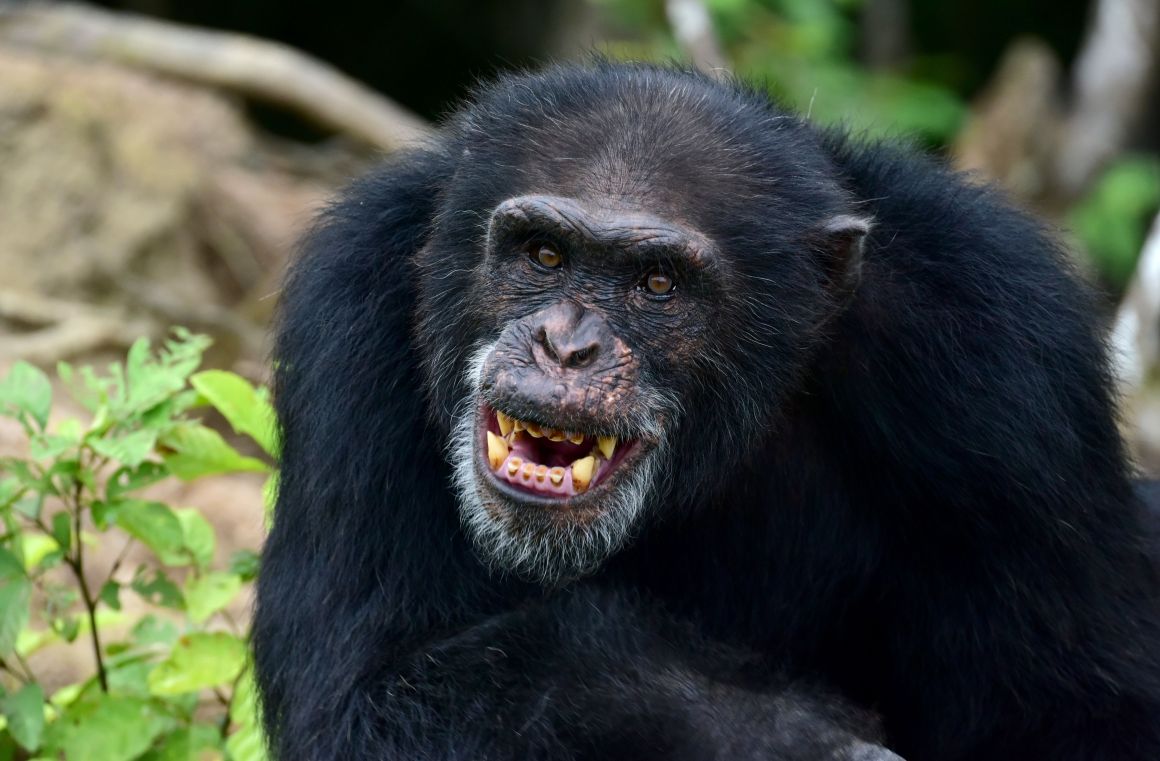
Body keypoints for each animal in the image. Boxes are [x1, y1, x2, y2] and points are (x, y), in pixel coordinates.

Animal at [251, 63, 1160, 761]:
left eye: (658, 284)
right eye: (543, 254)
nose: (565, 345)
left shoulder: (1009, 353)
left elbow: (1082, 710)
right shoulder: (353, 301)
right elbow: (361, 695)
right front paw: (787, 738)